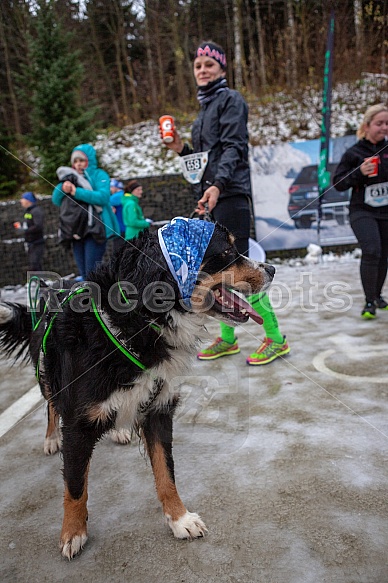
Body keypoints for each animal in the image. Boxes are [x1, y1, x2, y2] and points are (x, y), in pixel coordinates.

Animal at [0, 217, 274, 560]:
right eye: (226, 252)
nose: (272, 268)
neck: (136, 322)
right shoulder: (78, 422)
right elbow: (75, 487)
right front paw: (73, 533)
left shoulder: (159, 408)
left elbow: (166, 473)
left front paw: (179, 519)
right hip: (48, 374)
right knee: (51, 404)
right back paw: (51, 438)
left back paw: (118, 430)